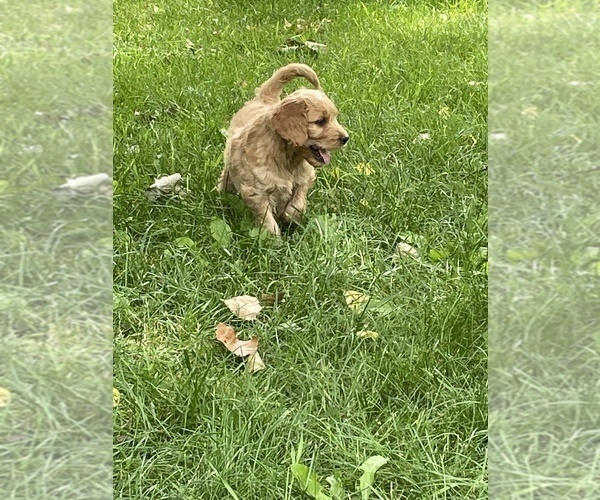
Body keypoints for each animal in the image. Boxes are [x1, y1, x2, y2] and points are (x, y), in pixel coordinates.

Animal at [217, 64, 350, 236]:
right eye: (321, 121)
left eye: (335, 118)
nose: (346, 138)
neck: (288, 158)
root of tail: (265, 98)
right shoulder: (256, 192)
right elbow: (267, 220)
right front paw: (272, 238)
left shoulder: (305, 178)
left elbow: (296, 205)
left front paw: (289, 216)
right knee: (226, 181)